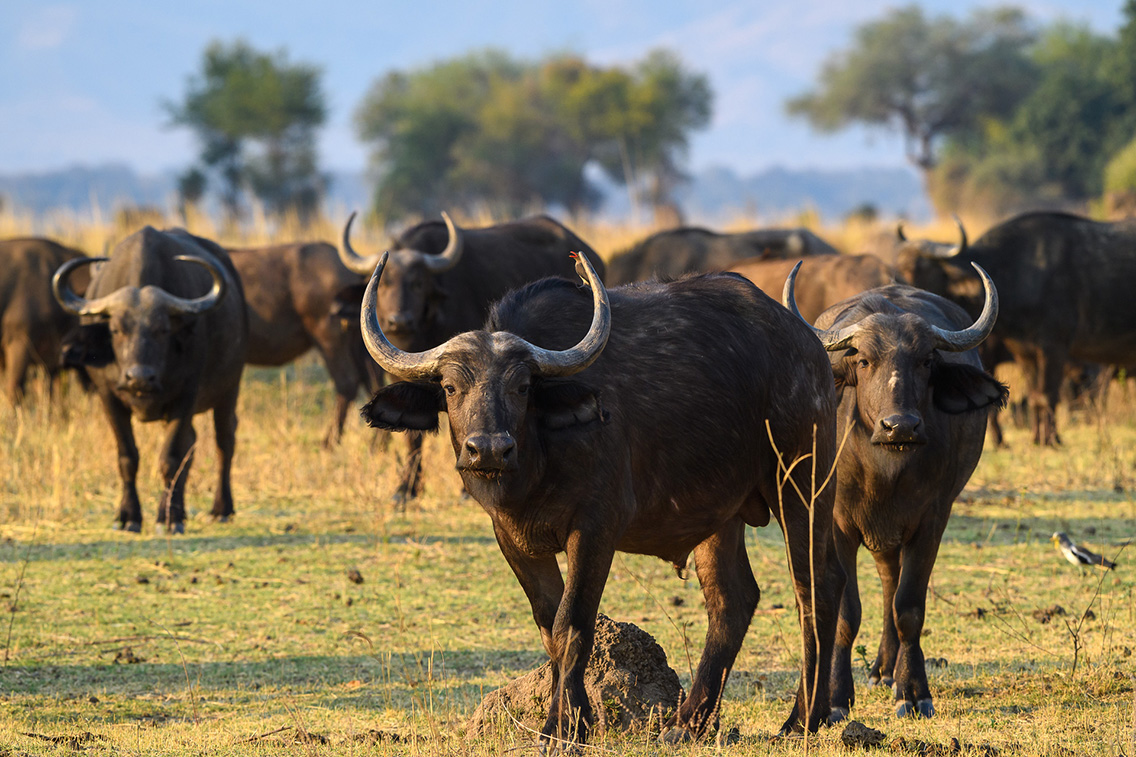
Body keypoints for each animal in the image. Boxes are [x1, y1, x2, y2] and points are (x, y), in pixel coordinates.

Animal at [53, 226, 248, 533]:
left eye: (163, 329)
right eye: (115, 329)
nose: (140, 377)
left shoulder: (186, 396)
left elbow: (170, 458)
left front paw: (168, 519)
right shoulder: (108, 397)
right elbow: (127, 457)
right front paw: (129, 516)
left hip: (230, 387)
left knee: (224, 441)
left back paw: (221, 509)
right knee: (192, 444)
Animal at [359, 253, 842, 746]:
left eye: (522, 387)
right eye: (451, 388)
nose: (488, 449)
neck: (536, 462)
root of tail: (808, 345)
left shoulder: (595, 528)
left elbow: (572, 623)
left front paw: (561, 725)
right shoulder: (511, 538)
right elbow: (548, 626)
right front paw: (578, 718)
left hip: (802, 484)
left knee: (817, 586)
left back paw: (805, 717)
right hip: (720, 515)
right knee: (733, 601)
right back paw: (688, 723)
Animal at [785, 263, 1006, 721]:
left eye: (925, 361)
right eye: (864, 360)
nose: (900, 425)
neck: (885, 472)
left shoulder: (932, 520)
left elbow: (909, 607)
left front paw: (913, 690)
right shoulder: (838, 523)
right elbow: (847, 613)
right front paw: (836, 698)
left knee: (892, 583)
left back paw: (888, 670)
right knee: (885, 577)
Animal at [895, 211, 1136, 445]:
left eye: (919, 268)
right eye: (898, 265)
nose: (901, 294)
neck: (1020, 270)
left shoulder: (1054, 347)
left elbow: (1047, 395)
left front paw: (1050, 440)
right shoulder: (1024, 353)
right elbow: (1035, 395)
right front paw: (1037, 438)